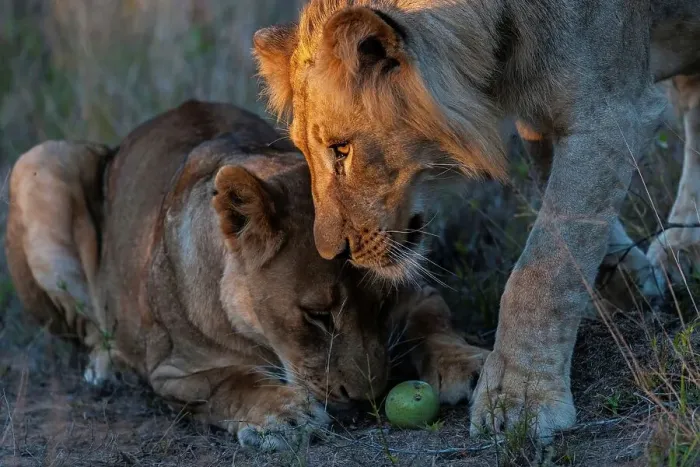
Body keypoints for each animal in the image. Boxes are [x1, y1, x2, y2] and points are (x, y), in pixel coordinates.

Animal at [5, 100, 489, 451]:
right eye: (317, 315)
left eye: (384, 303)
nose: (367, 398)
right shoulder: (171, 369)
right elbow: (228, 381)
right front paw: (284, 413)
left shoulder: (418, 291)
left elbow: (432, 320)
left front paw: (468, 365)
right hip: (41, 160)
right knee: (86, 327)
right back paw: (106, 367)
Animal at [252, 0, 700, 440]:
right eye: (306, 153)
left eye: (341, 150)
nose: (334, 253)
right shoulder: (543, 118)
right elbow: (573, 228)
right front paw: (630, 281)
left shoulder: (609, 112)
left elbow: (544, 270)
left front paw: (518, 400)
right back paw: (683, 248)